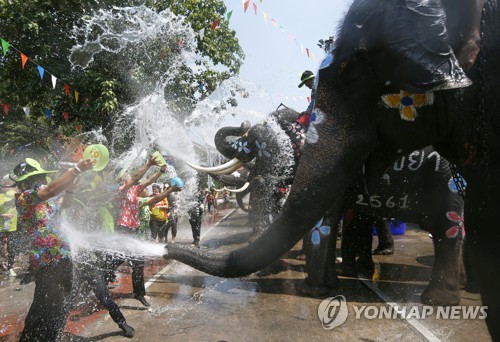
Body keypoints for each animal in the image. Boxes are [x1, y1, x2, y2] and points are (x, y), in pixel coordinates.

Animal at [168, 0, 500, 340]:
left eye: (256, 146)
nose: (166, 250)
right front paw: (337, 278)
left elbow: (324, 217)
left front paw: (314, 290)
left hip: (447, 184)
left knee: (449, 228)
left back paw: (439, 300)